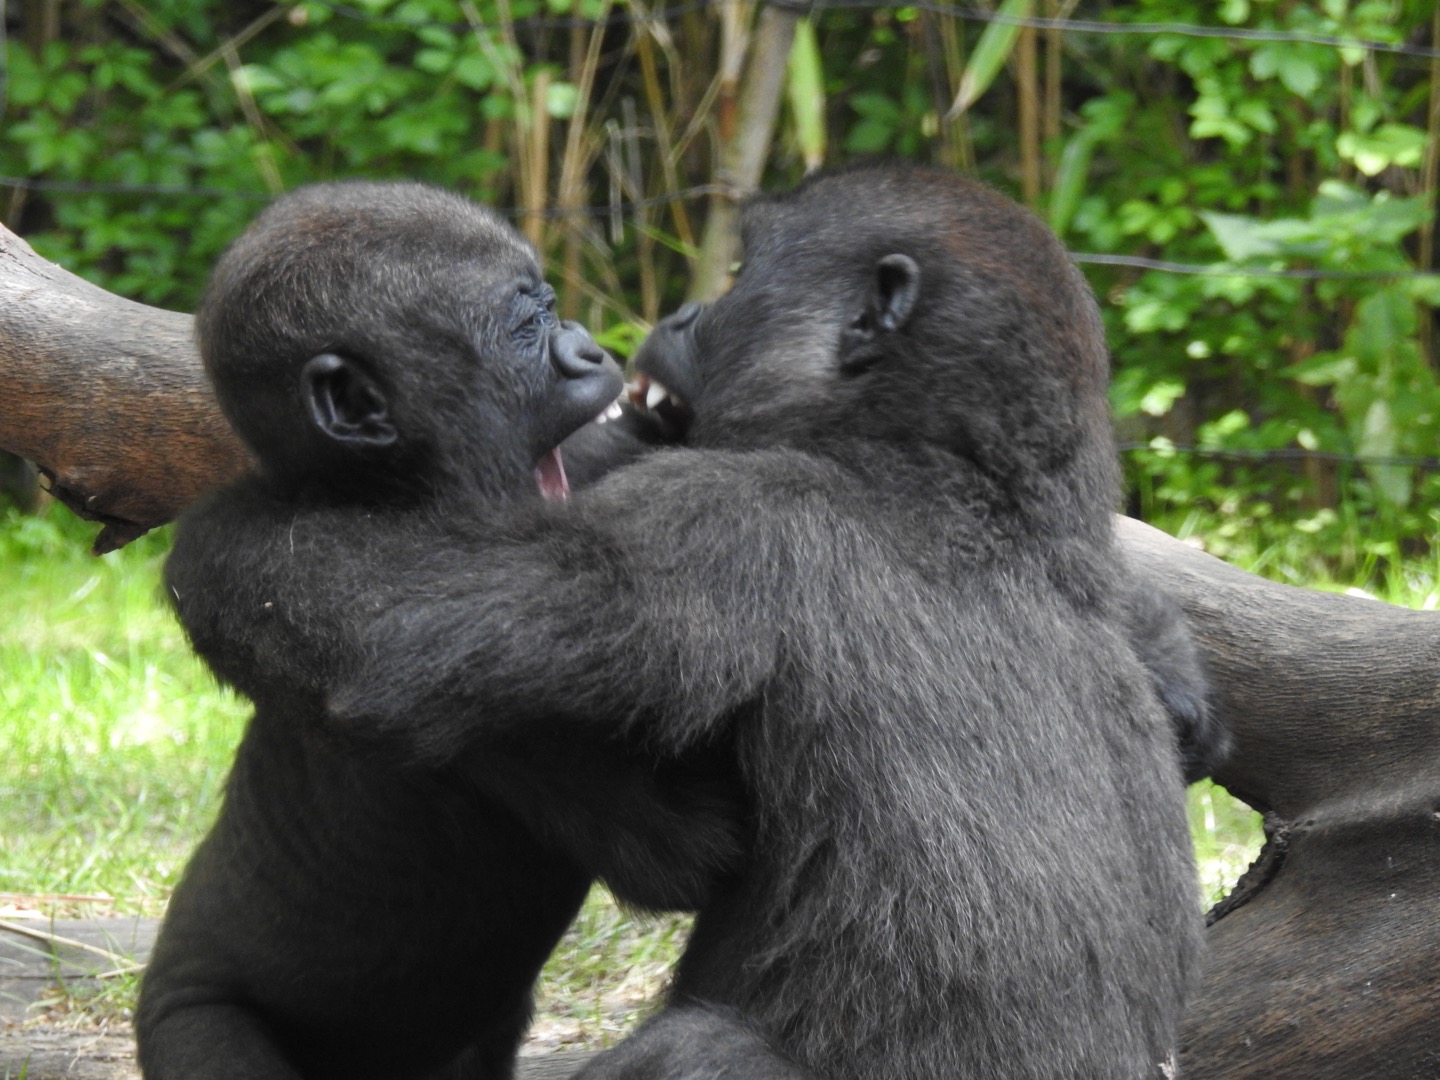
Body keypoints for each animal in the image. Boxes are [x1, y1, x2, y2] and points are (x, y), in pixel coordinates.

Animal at [272, 162, 1203, 1080]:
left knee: (695, 1053)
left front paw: (247, 532)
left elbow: (391, 649)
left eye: (743, 273)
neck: (975, 480)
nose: (681, 314)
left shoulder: (733, 513)